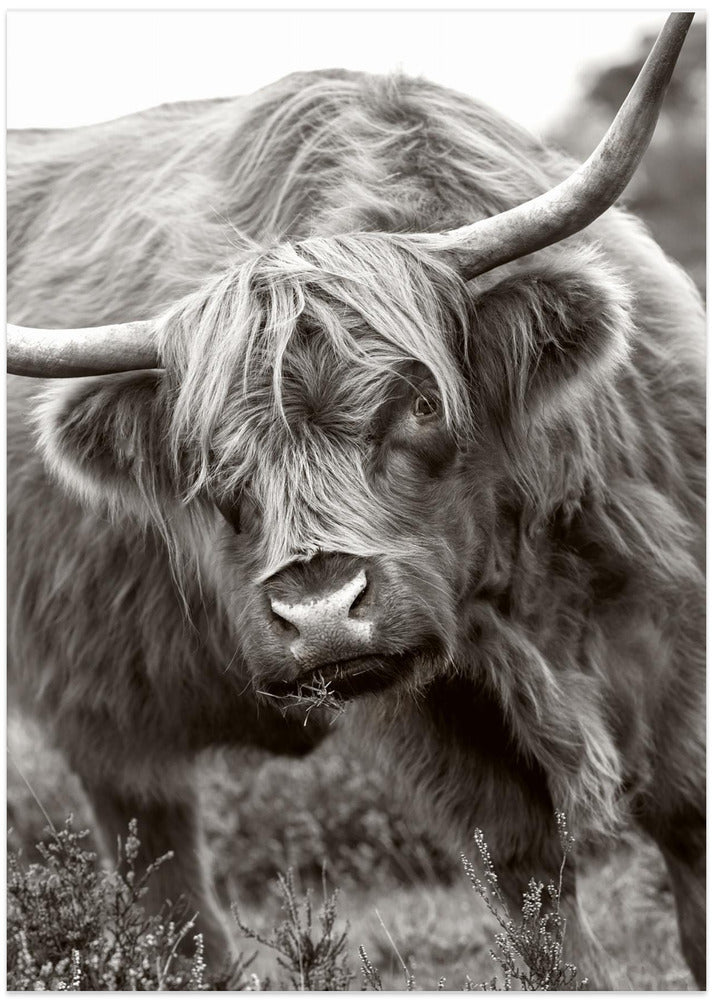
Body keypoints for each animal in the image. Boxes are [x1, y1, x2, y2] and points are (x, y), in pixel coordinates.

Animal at [7, 13, 704, 988]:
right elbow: (531, 893)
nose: (320, 613)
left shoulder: (673, 624)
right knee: (166, 882)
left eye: (419, 404)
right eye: (210, 459)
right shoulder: (442, 718)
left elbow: (685, 822)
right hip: (99, 711)